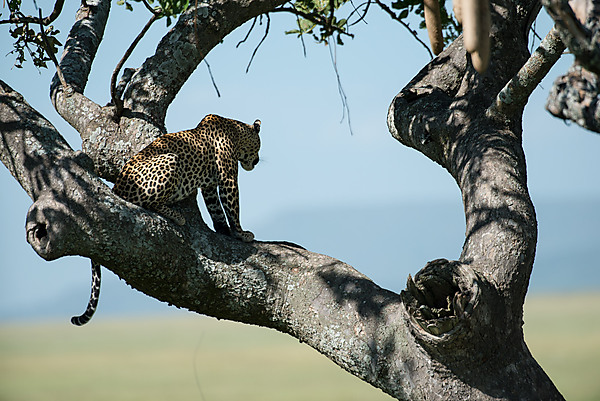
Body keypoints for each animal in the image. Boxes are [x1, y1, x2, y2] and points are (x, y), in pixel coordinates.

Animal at [70, 113, 260, 324]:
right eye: (259, 146)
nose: (257, 161)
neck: (235, 130)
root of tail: (116, 189)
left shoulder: (210, 186)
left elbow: (216, 209)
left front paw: (223, 230)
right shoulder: (228, 178)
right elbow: (232, 207)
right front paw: (241, 233)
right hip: (170, 160)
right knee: (150, 204)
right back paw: (177, 216)